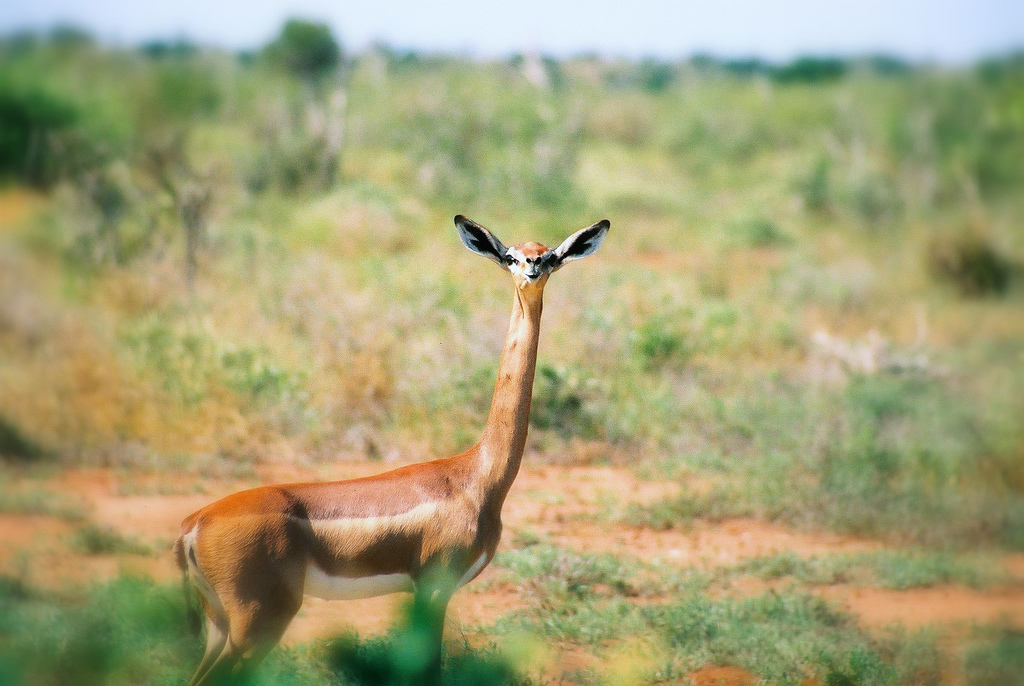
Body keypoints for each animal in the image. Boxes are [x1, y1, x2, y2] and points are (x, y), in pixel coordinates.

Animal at [174, 215, 610, 684]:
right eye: (510, 255)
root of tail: (195, 524)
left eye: (550, 255)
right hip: (256, 624)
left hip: (220, 626)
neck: (476, 476)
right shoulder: (434, 588)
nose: (531, 269)